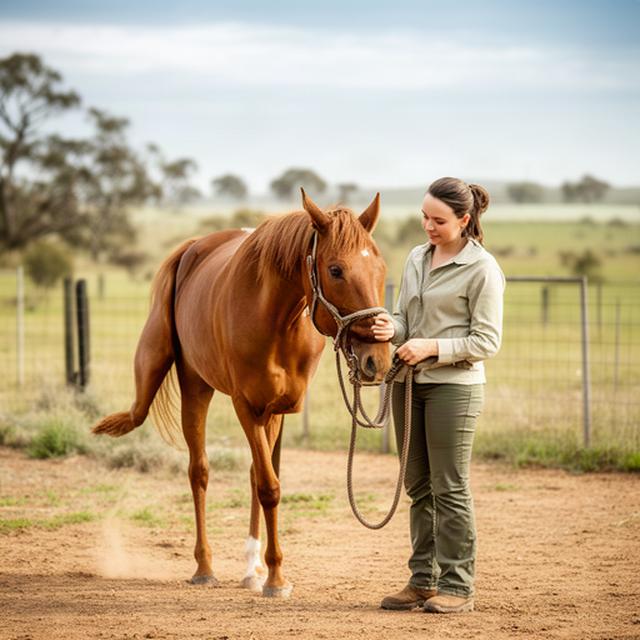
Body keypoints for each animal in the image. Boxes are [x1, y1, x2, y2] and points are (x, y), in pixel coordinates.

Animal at [91, 190, 390, 597]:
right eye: (335, 270)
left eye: (381, 267)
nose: (378, 358)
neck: (277, 319)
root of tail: (192, 248)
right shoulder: (245, 405)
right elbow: (268, 487)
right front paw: (276, 579)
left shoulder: (276, 408)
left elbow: (261, 480)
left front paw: (268, 572)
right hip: (195, 387)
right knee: (198, 472)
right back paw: (204, 567)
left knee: (246, 474)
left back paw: (251, 570)